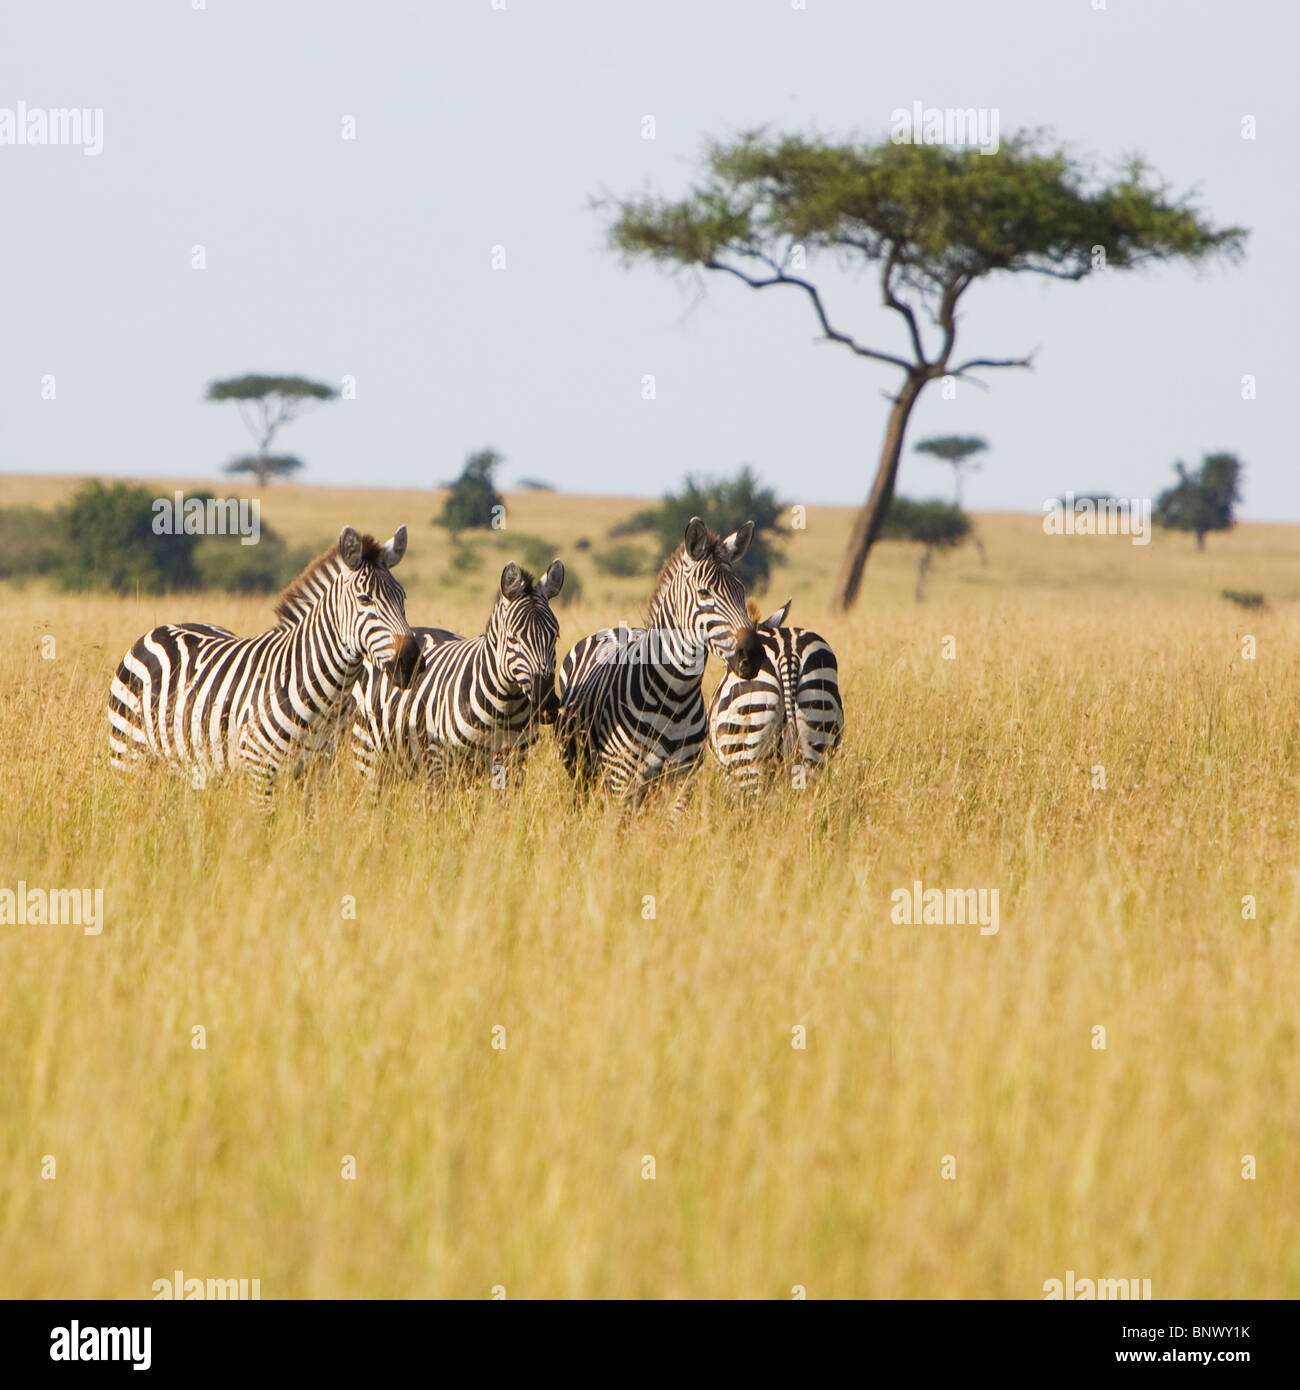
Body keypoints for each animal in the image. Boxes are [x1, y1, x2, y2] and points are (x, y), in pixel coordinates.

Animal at [108, 522, 422, 806]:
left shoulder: (315, 773)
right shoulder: (260, 772)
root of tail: (161, 628)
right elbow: (265, 827)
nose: (410, 662)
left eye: (403, 597)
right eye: (364, 599)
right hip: (129, 751)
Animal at [350, 558, 564, 789]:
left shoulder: (515, 762)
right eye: (513, 638)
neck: (505, 708)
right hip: (368, 754)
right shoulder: (437, 759)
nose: (547, 703)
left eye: (556, 637)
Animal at [556, 517, 761, 806]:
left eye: (742, 591)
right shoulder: (622, 780)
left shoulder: (683, 779)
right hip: (581, 769)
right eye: (704, 593)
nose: (752, 655)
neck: (675, 696)